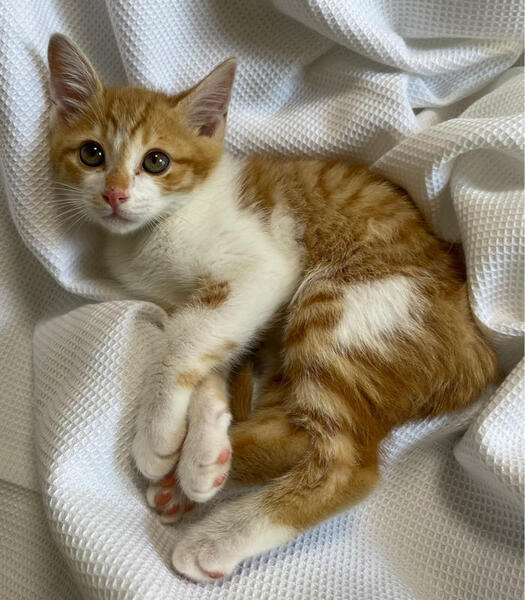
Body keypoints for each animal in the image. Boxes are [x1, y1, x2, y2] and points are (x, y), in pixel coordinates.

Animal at [47, 33, 498, 582]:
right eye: (91, 154)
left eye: (156, 161)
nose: (115, 194)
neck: (157, 230)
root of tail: (476, 346)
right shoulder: (193, 303)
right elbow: (203, 346)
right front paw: (204, 434)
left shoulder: (262, 269)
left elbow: (183, 340)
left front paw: (158, 435)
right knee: (296, 430)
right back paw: (198, 477)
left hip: (341, 305)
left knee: (346, 464)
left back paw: (214, 535)